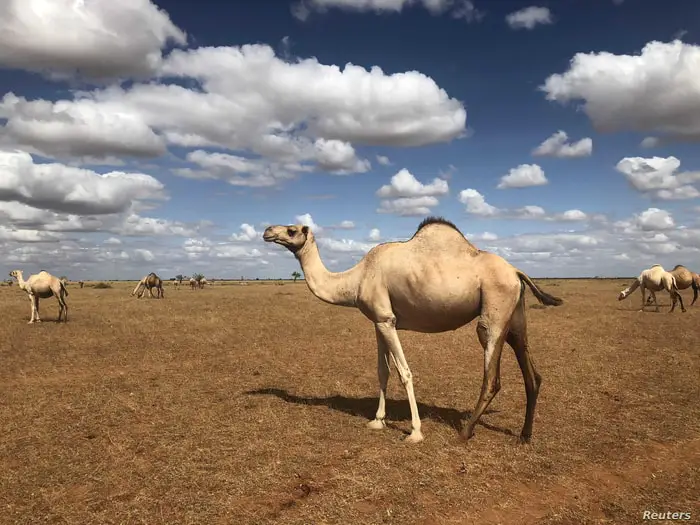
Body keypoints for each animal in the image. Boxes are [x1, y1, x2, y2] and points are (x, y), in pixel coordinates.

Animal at [262, 216, 564, 442]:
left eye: (291, 230)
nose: (267, 231)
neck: (355, 280)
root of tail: (517, 272)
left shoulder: (386, 319)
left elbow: (404, 372)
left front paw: (415, 432)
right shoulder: (379, 321)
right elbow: (382, 371)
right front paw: (377, 420)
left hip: (494, 310)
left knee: (492, 375)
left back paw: (465, 431)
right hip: (515, 317)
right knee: (531, 371)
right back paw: (524, 435)